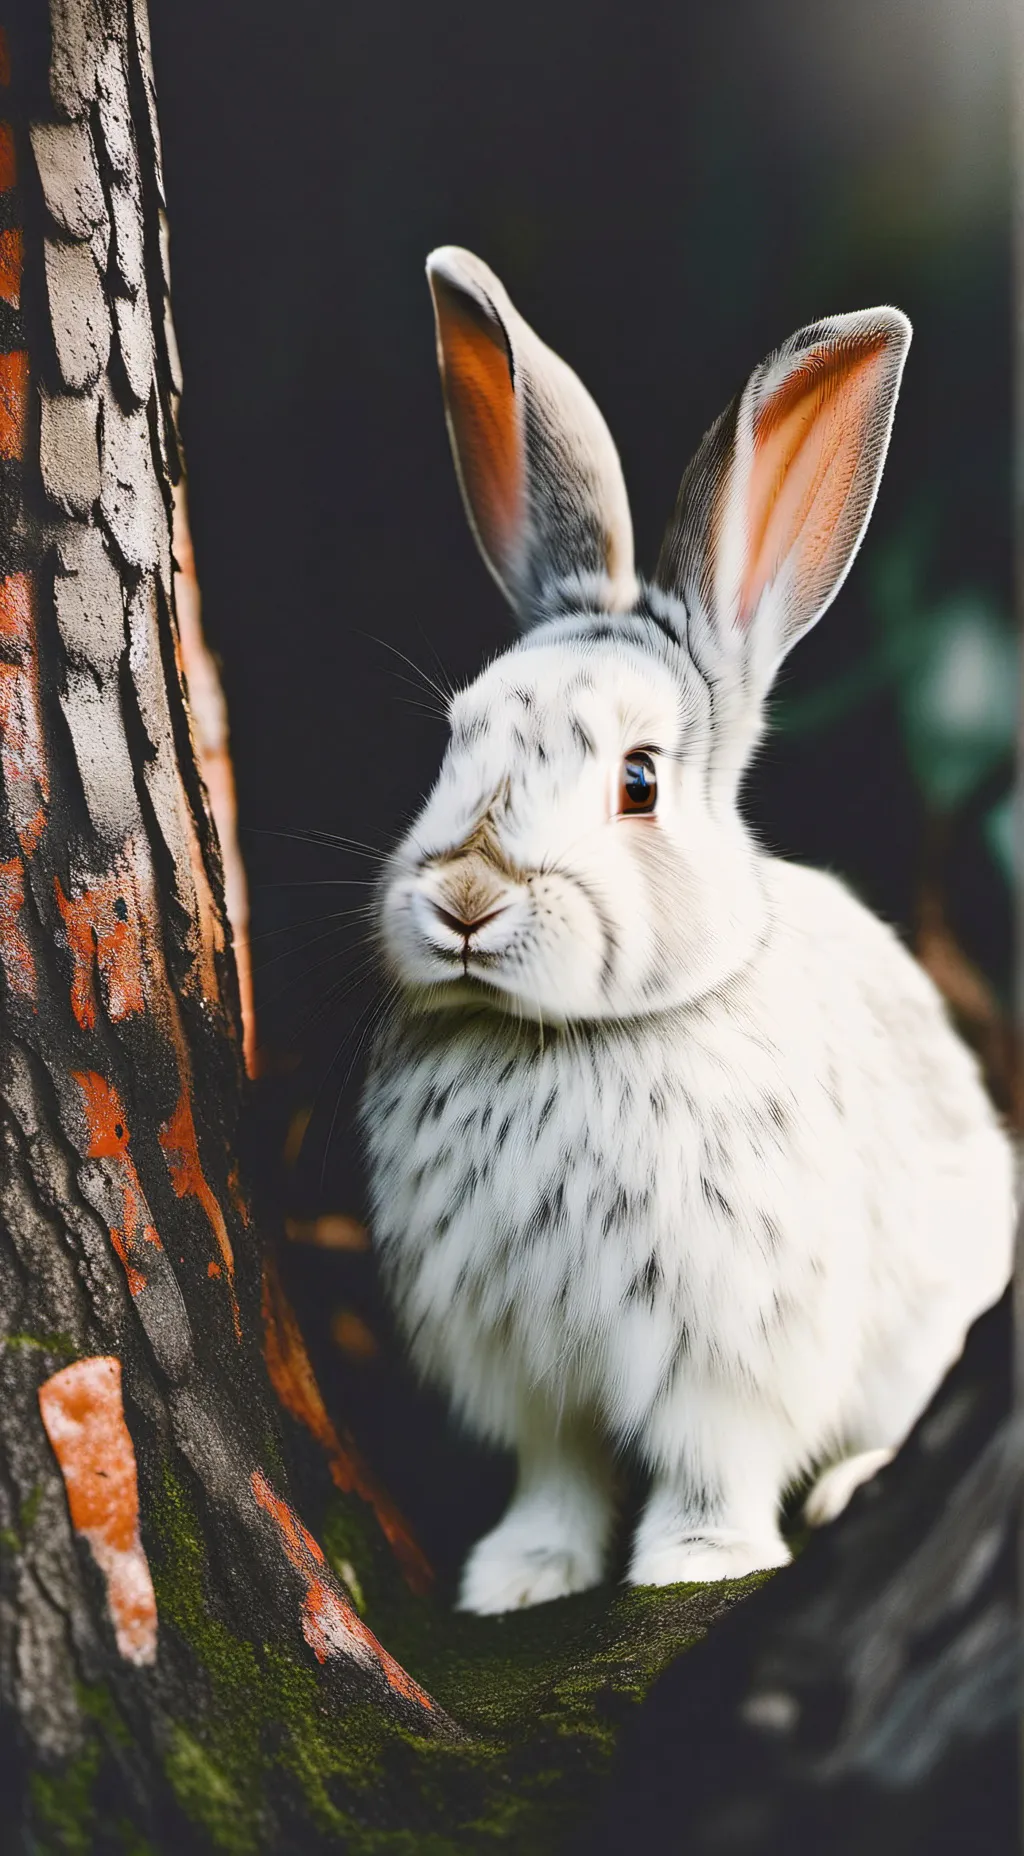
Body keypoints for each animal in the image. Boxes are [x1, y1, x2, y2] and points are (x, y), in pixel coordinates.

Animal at [360, 247, 1015, 1614]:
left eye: (639, 780)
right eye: (454, 738)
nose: (467, 902)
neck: (565, 1036)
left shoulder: (729, 1349)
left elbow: (714, 1466)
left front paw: (695, 1565)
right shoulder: (526, 1361)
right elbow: (554, 1473)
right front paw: (518, 1577)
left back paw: (852, 1486)